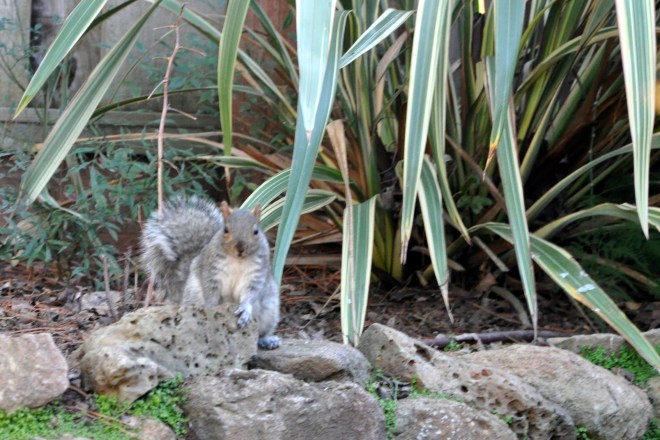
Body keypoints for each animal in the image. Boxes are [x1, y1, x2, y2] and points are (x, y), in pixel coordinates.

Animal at [140, 195, 281, 349]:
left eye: (256, 231)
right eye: (225, 230)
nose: (240, 247)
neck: (238, 260)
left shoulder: (257, 273)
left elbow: (251, 293)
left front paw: (245, 308)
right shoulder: (210, 271)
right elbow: (210, 292)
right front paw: (211, 311)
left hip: (270, 310)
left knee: (260, 333)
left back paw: (267, 340)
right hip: (192, 297)